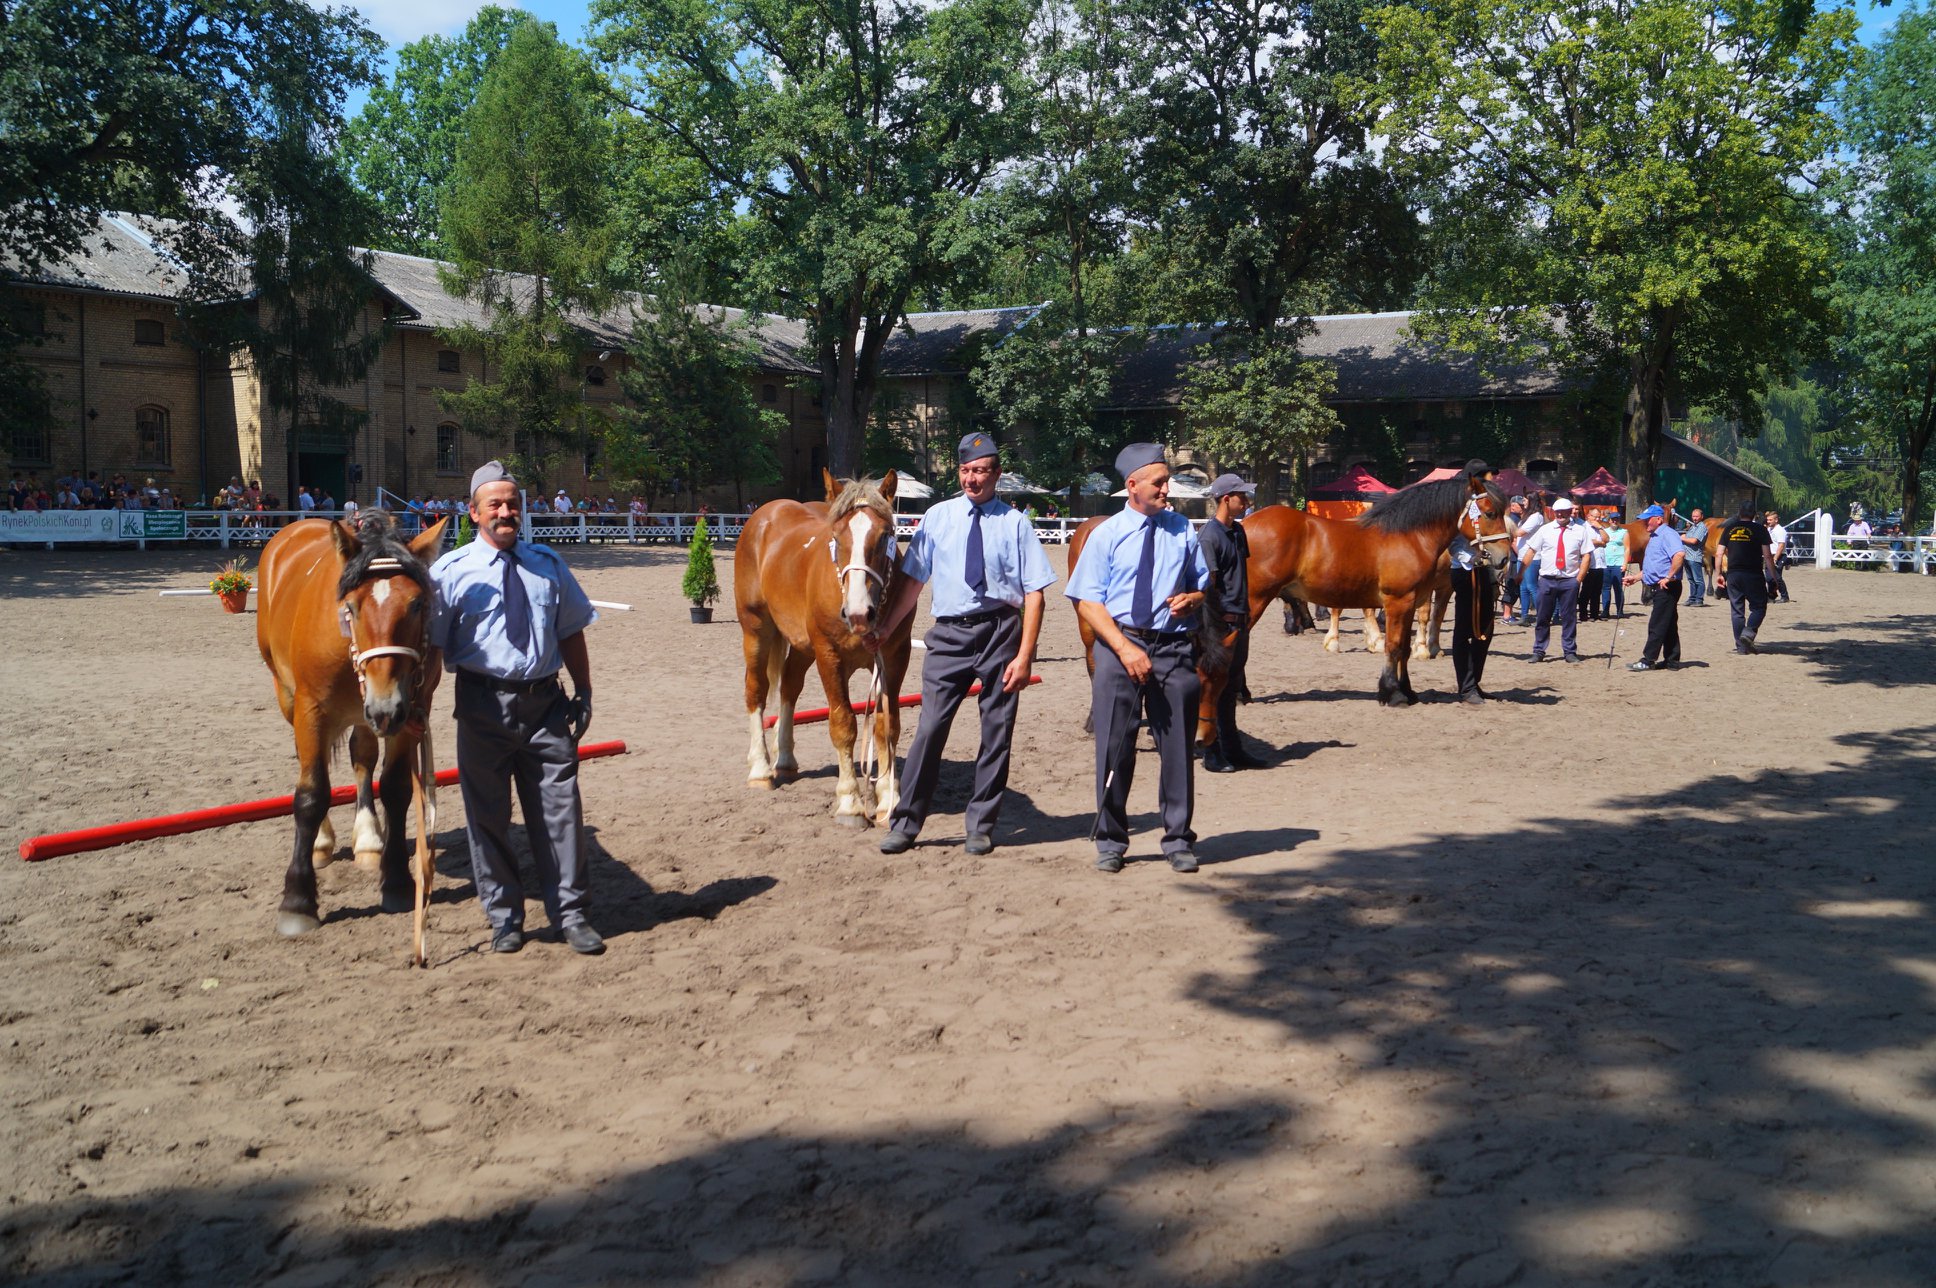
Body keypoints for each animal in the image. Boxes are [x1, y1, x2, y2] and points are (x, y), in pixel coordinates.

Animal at [255, 507, 447, 960]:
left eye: (417, 603)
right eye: (352, 607)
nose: (385, 706)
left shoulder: (408, 709)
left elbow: (394, 788)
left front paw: (397, 881)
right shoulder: (312, 711)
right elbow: (310, 795)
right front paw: (297, 901)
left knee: (363, 758)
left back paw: (369, 839)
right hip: (290, 697)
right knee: (313, 768)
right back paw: (322, 843)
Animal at [731, 470, 913, 825]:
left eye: (885, 535)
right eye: (836, 537)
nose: (858, 613)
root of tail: (764, 515)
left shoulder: (894, 657)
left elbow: (887, 725)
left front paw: (889, 799)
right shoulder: (829, 657)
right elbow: (843, 724)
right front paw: (850, 802)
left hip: (802, 646)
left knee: (789, 687)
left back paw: (785, 759)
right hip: (756, 629)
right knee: (756, 690)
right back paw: (760, 769)